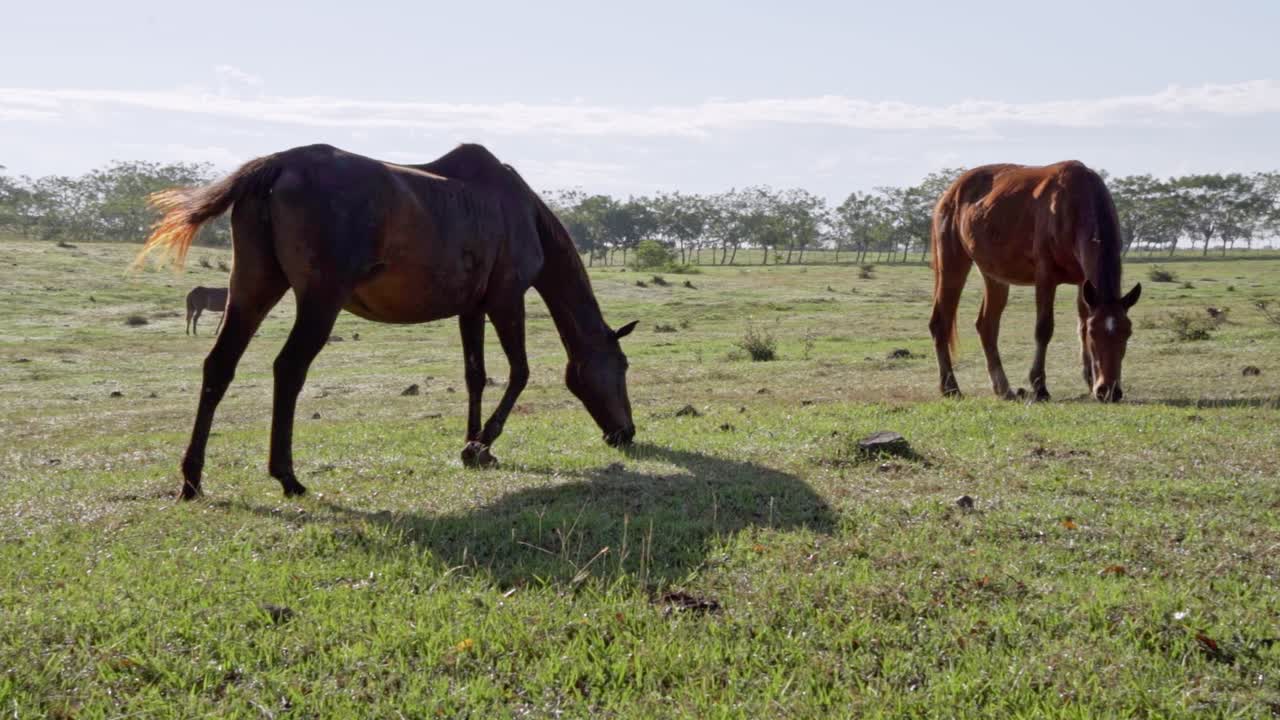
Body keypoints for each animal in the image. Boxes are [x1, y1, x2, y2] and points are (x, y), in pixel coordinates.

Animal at [134, 143, 639, 500]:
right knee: (288, 369)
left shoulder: (472, 308)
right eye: (623, 366)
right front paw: (482, 443)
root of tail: (277, 165)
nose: (627, 433)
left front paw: (474, 445)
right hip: (320, 300)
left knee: (219, 366)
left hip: (252, 289)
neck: (522, 211)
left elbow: (475, 376)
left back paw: (192, 480)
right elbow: (519, 372)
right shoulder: (506, 299)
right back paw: (287, 477)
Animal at [928, 161, 1142, 403]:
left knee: (987, 326)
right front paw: (1039, 387)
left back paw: (1004, 388)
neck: (1074, 202)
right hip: (952, 264)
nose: (1110, 390)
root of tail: (951, 192)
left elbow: (1080, 322)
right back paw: (950, 387)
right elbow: (1044, 329)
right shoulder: (1045, 276)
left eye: (1127, 332)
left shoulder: (1083, 283)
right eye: (1094, 333)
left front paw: (1089, 381)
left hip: (994, 275)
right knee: (940, 323)